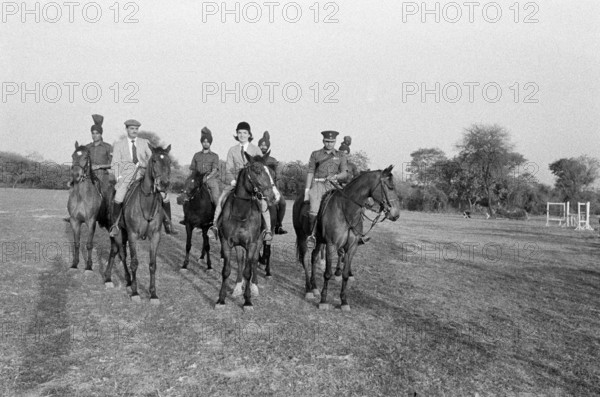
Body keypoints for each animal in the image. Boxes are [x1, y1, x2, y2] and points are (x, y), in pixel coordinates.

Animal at [67, 141, 112, 270]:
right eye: (73, 156)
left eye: (86, 157)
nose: (76, 175)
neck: (81, 197)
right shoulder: (75, 221)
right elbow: (77, 243)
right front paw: (74, 264)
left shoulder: (91, 222)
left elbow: (89, 244)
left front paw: (88, 266)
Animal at [103, 144, 172, 302]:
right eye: (154, 160)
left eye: (169, 162)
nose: (164, 184)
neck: (147, 203)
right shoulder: (133, 234)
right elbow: (134, 262)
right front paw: (135, 293)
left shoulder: (155, 236)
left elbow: (152, 264)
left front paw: (153, 294)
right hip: (118, 232)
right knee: (118, 252)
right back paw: (110, 279)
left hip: (123, 233)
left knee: (119, 252)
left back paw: (126, 281)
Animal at [216, 153, 282, 310]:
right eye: (257, 170)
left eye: (272, 173)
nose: (275, 197)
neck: (240, 213)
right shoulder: (226, 243)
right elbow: (226, 271)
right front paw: (221, 299)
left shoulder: (252, 244)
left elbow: (248, 271)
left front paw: (247, 300)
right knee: (241, 261)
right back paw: (237, 287)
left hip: (260, 241)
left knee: (253, 261)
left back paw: (254, 286)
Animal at [292, 166, 400, 310]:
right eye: (390, 187)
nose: (396, 214)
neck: (346, 211)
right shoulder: (331, 245)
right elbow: (327, 273)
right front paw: (323, 300)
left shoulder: (352, 247)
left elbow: (345, 274)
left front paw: (344, 301)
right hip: (302, 236)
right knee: (305, 259)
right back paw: (308, 290)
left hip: (319, 241)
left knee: (313, 258)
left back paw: (314, 287)